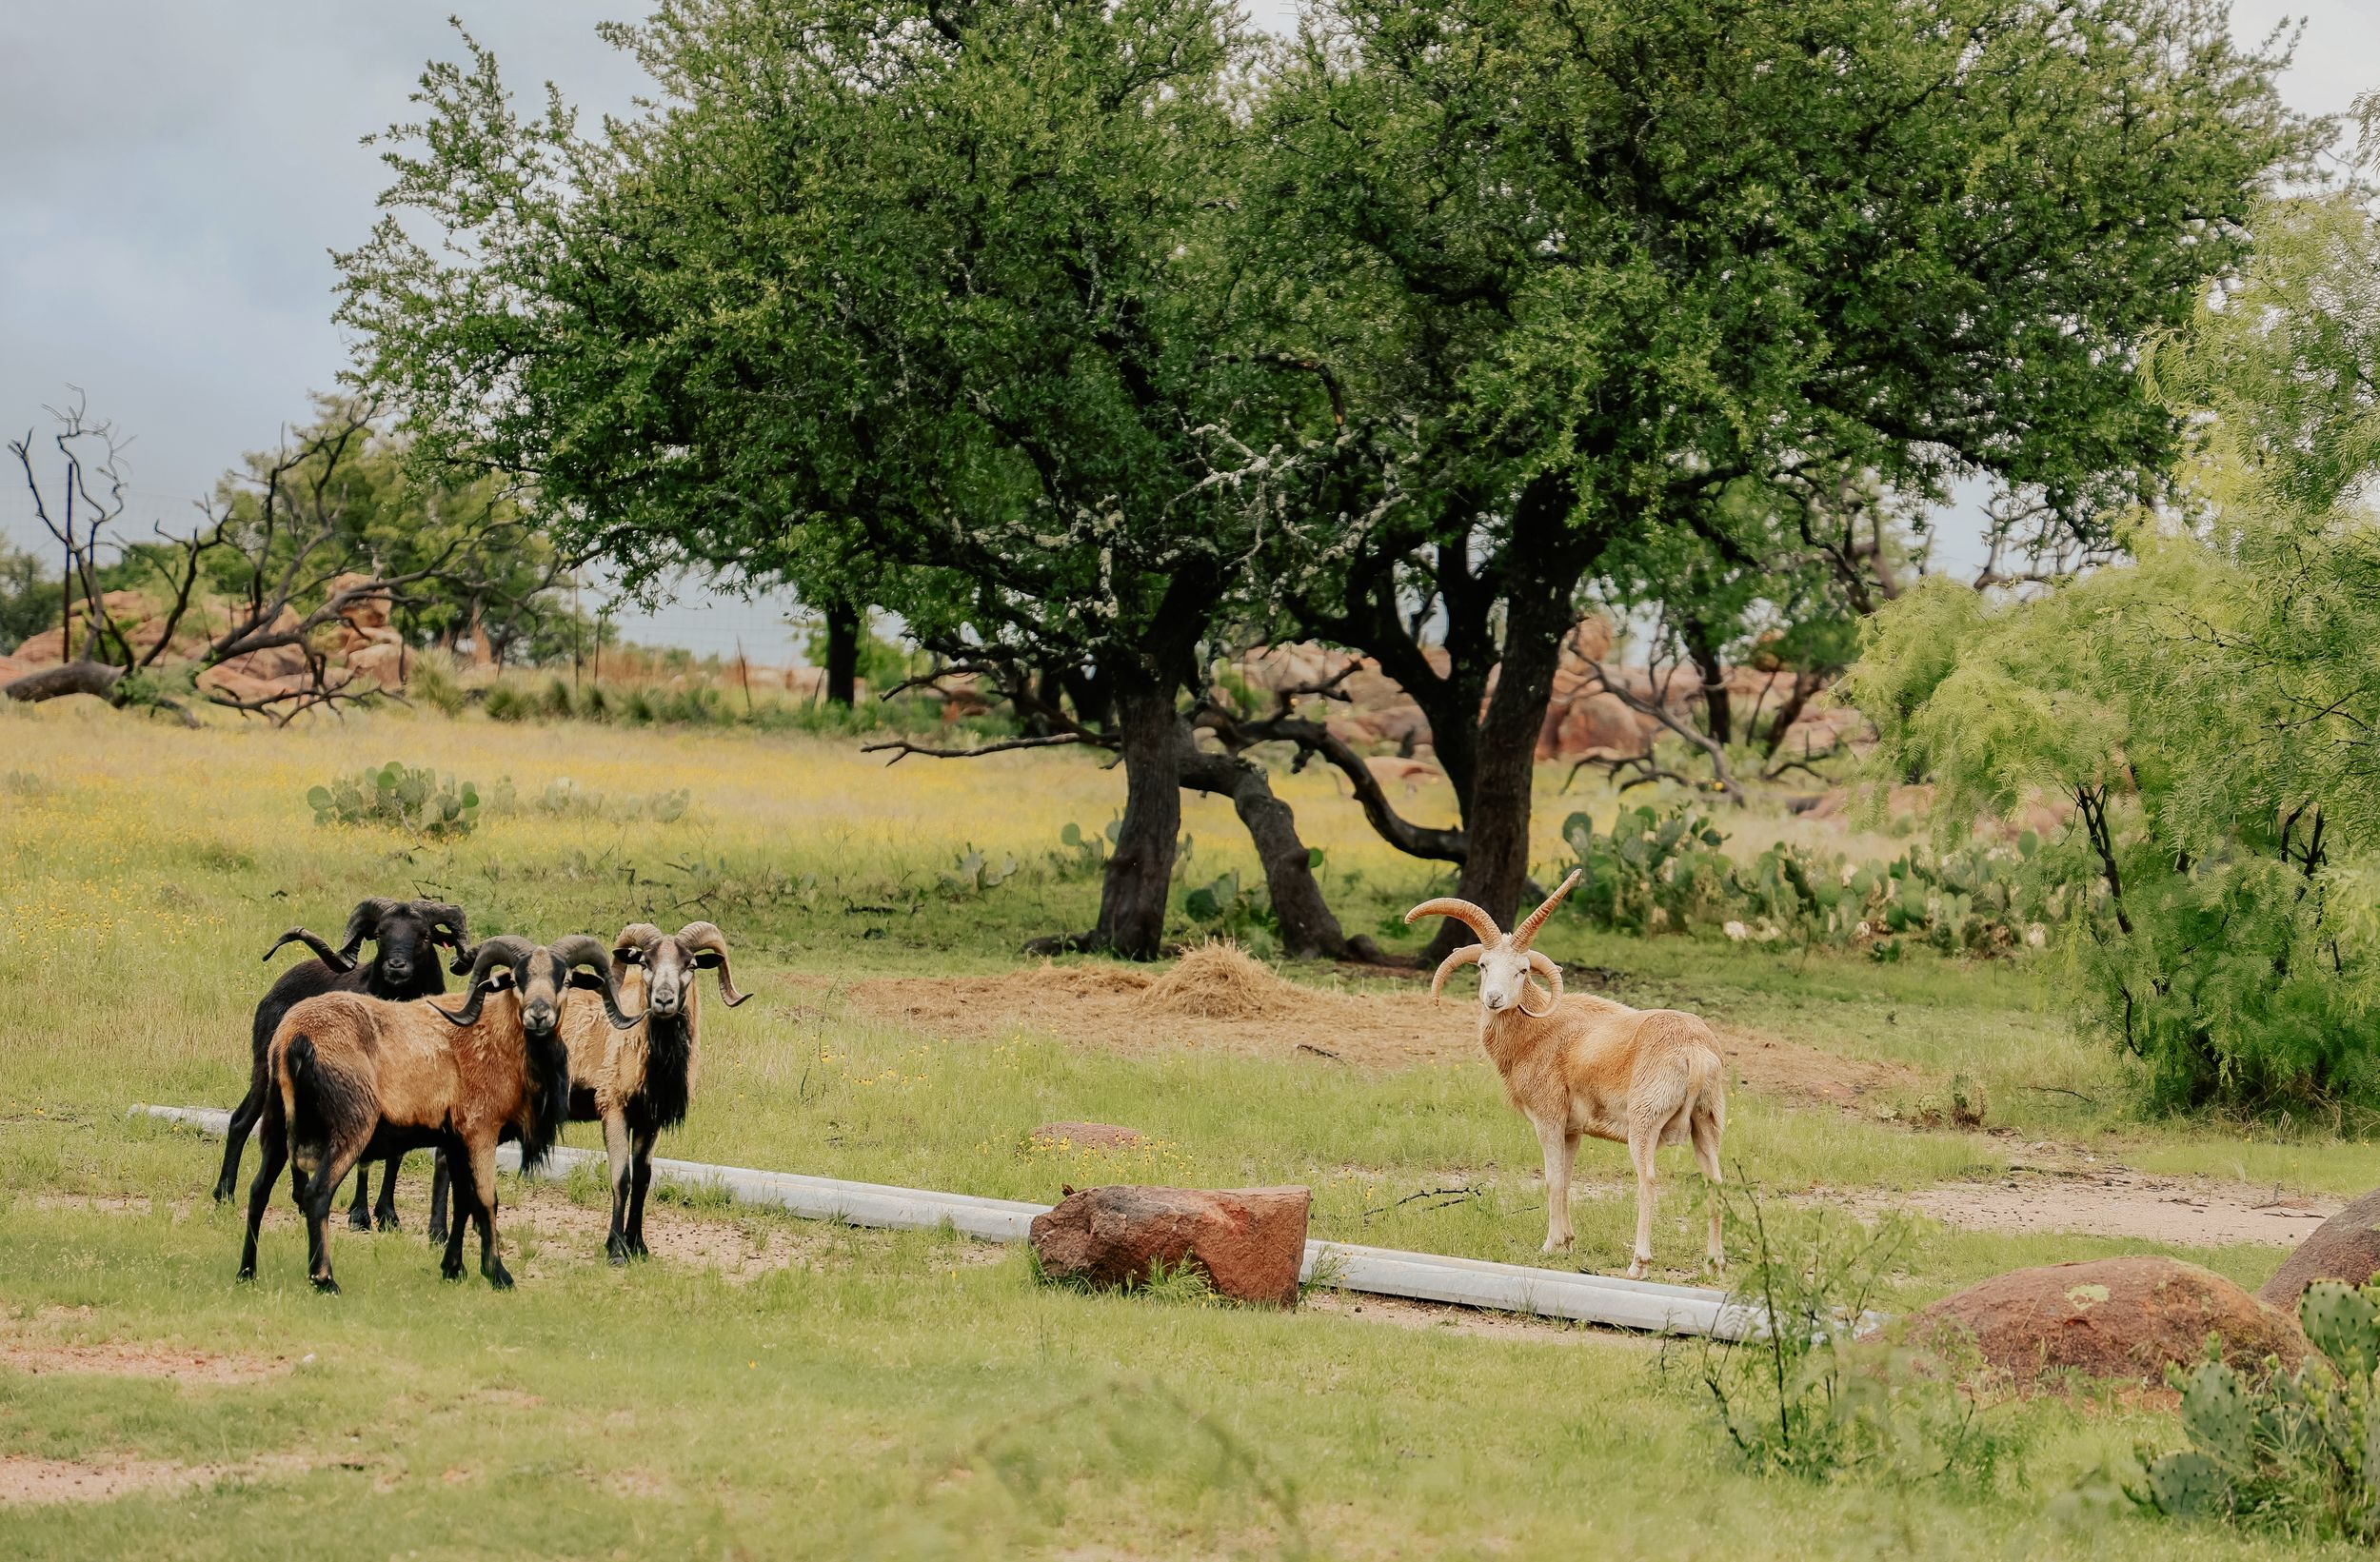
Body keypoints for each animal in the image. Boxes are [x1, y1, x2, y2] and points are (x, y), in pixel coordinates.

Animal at [211, 897, 471, 1231]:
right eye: (381, 933)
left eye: (424, 935)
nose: (395, 967)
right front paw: (360, 1216)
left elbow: (396, 1154)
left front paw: (388, 1215)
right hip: (266, 1071)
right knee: (241, 1121)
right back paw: (225, 1195)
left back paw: (297, 1198)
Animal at [237, 934, 636, 1292]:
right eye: (517, 978)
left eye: (565, 979)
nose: (539, 1015)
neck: (501, 1038)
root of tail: (295, 1037)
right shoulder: (480, 1131)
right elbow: (486, 1200)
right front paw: (499, 1275)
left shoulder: (455, 1140)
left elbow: (463, 1202)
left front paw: (453, 1269)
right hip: (351, 1125)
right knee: (317, 1194)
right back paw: (324, 1279)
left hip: (276, 1119)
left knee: (258, 1191)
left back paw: (247, 1272)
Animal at [542, 921, 748, 1263]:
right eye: (644, 963)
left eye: (691, 965)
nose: (663, 1000)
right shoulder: (613, 1109)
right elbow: (621, 1178)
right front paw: (615, 1250)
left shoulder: (650, 1121)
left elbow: (643, 1180)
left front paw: (638, 1246)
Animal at [1406, 869, 1727, 1279]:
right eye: (1483, 966)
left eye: (1522, 970)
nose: (1493, 999)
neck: (1538, 1029)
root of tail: (1695, 1053)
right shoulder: (1573, 1129)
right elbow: (1567, 1177)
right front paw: (1569, 1243)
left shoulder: (1548, 1117)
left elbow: (1552, 1177)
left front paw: (1550, 1245)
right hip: (1708, 1122)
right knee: (1715, 1182)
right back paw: (1714, 1264)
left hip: (1646, 1121)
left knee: (1648, 1180)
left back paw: (1638, 1264)